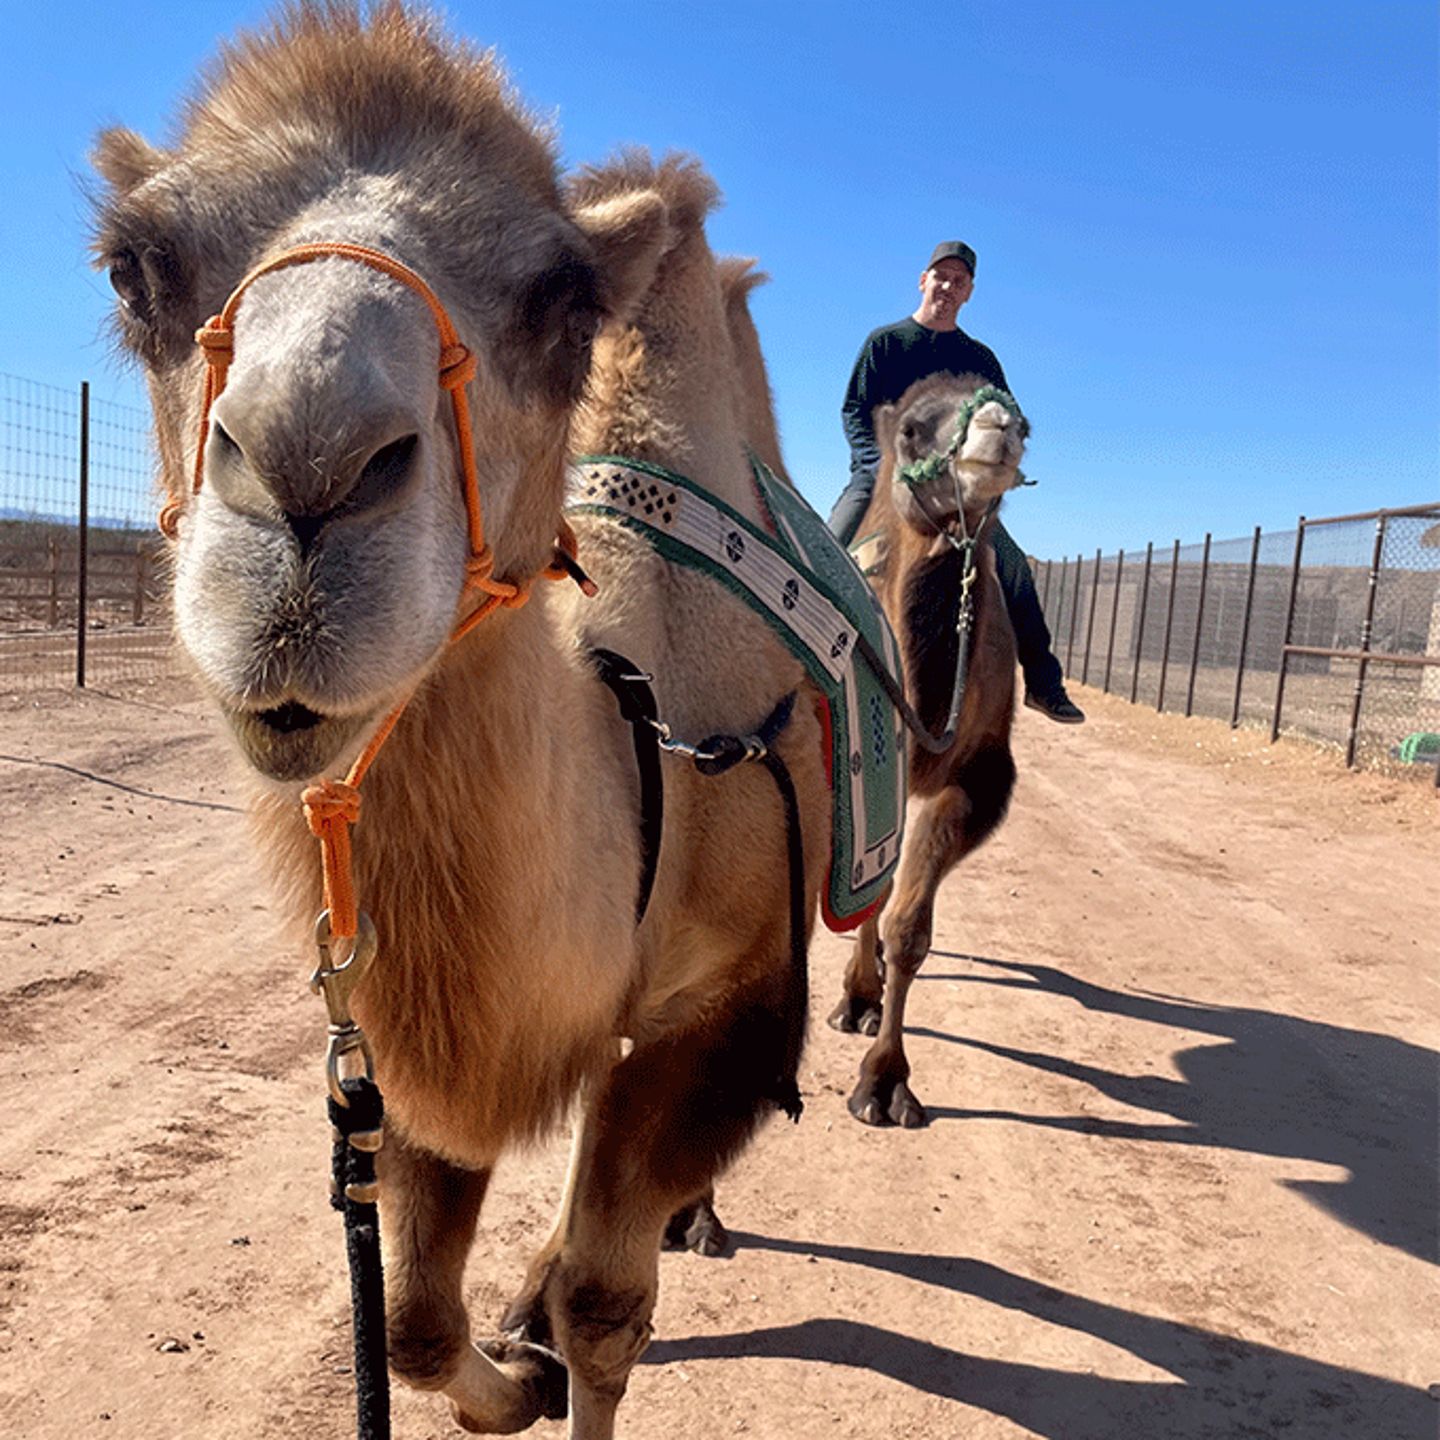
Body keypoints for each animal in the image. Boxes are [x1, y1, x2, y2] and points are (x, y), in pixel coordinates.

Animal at [91, 8, 828, 1437]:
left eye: (564, 300)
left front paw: (562, 1345)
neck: (640, 734)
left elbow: (608, 1311)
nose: (308, 466)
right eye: (135, 267)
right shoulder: (415, 1046)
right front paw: (514, 1372)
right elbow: (417, 1320)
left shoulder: (725, 1000)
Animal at [825, 372, 1026, 1127]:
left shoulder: (978, 775)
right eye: (912, 430)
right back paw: (858, 994)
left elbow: (910, 925)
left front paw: (884, 1083)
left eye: (1026, 421)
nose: (999, 428)